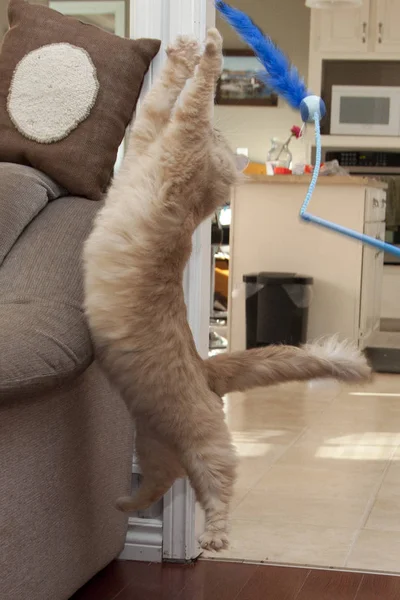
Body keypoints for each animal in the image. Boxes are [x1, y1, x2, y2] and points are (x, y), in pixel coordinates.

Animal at [83, 30, 370, 552]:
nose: (221, 134)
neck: (195, 198)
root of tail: (205, 367)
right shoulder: (149, 138)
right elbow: (166, 96)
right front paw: (183, 53)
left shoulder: (174, 135)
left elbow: (188, 96)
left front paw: (209, 49)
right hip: (154, 444)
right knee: (164, 481)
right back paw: (124, 506)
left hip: (202, 443)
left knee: (218, 485)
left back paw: (214, 537)